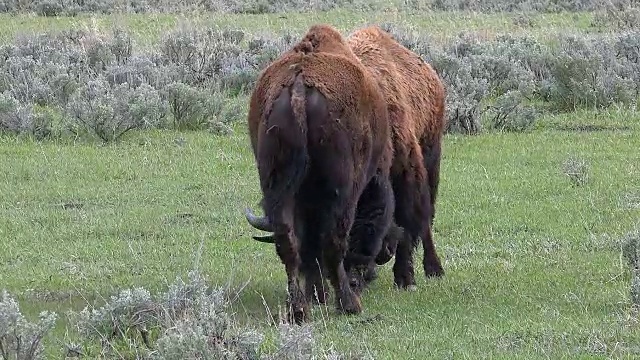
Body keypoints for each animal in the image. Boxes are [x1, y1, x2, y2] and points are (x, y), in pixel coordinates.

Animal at [245, 25, 396, 324]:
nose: (384, 254)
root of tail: (299, 87)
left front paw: (317, 294)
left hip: (277, 185)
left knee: (289, 241)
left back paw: (299, 308)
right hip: (340, 191)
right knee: (332, 241)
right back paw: (348, 304)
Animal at [348, 25, 448, 290]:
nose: (353, 279)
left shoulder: (407, 169)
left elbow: (408, 220)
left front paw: (405, 278)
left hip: (431, 156)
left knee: (426, 219)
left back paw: (434, 269)